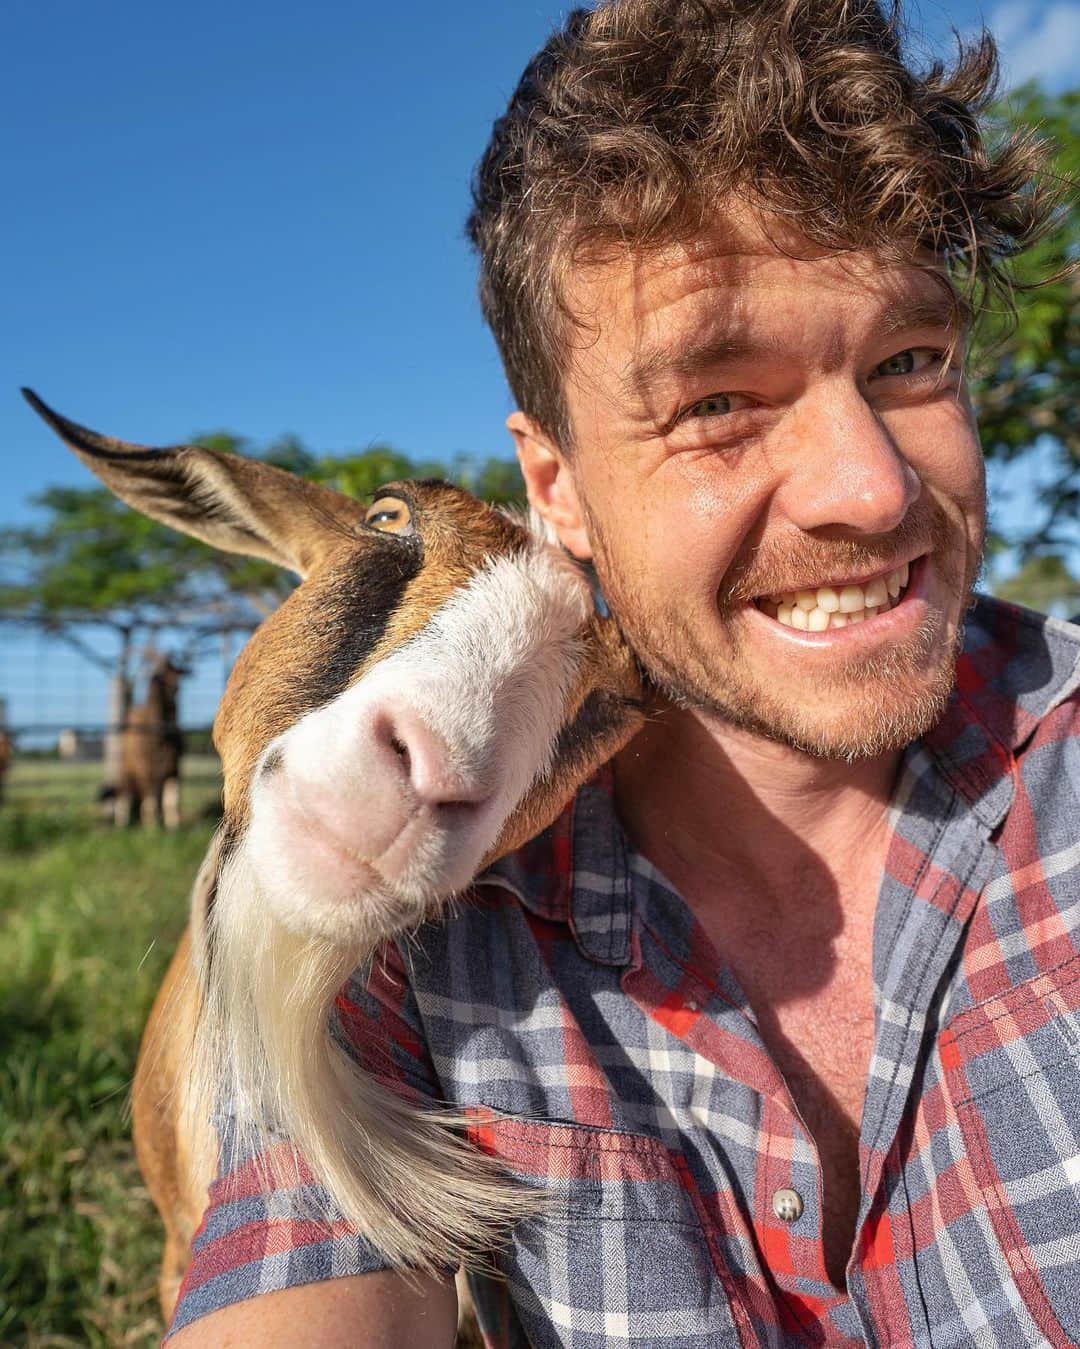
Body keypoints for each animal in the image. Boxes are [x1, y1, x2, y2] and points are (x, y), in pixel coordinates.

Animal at [117, 655, 187, 825]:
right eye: (160, 675)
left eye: (177, 671)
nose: (175, 687)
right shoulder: (146, 767)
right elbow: (150, 797)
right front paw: (151, 825)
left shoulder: (174, 766)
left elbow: (171, 798)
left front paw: (173, 825)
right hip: (126, 767)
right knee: (125, 792)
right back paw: (123, 821)